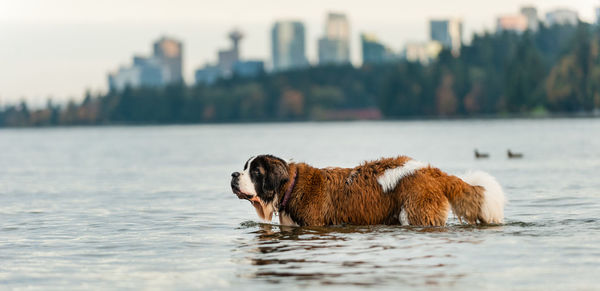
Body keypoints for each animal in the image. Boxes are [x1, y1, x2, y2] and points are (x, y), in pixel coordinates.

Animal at [231, 155, 506, 228]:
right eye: (244, 167)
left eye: (256, 171)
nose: (234, 175)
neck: (290, 185)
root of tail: (430, 170)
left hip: (415, 213)